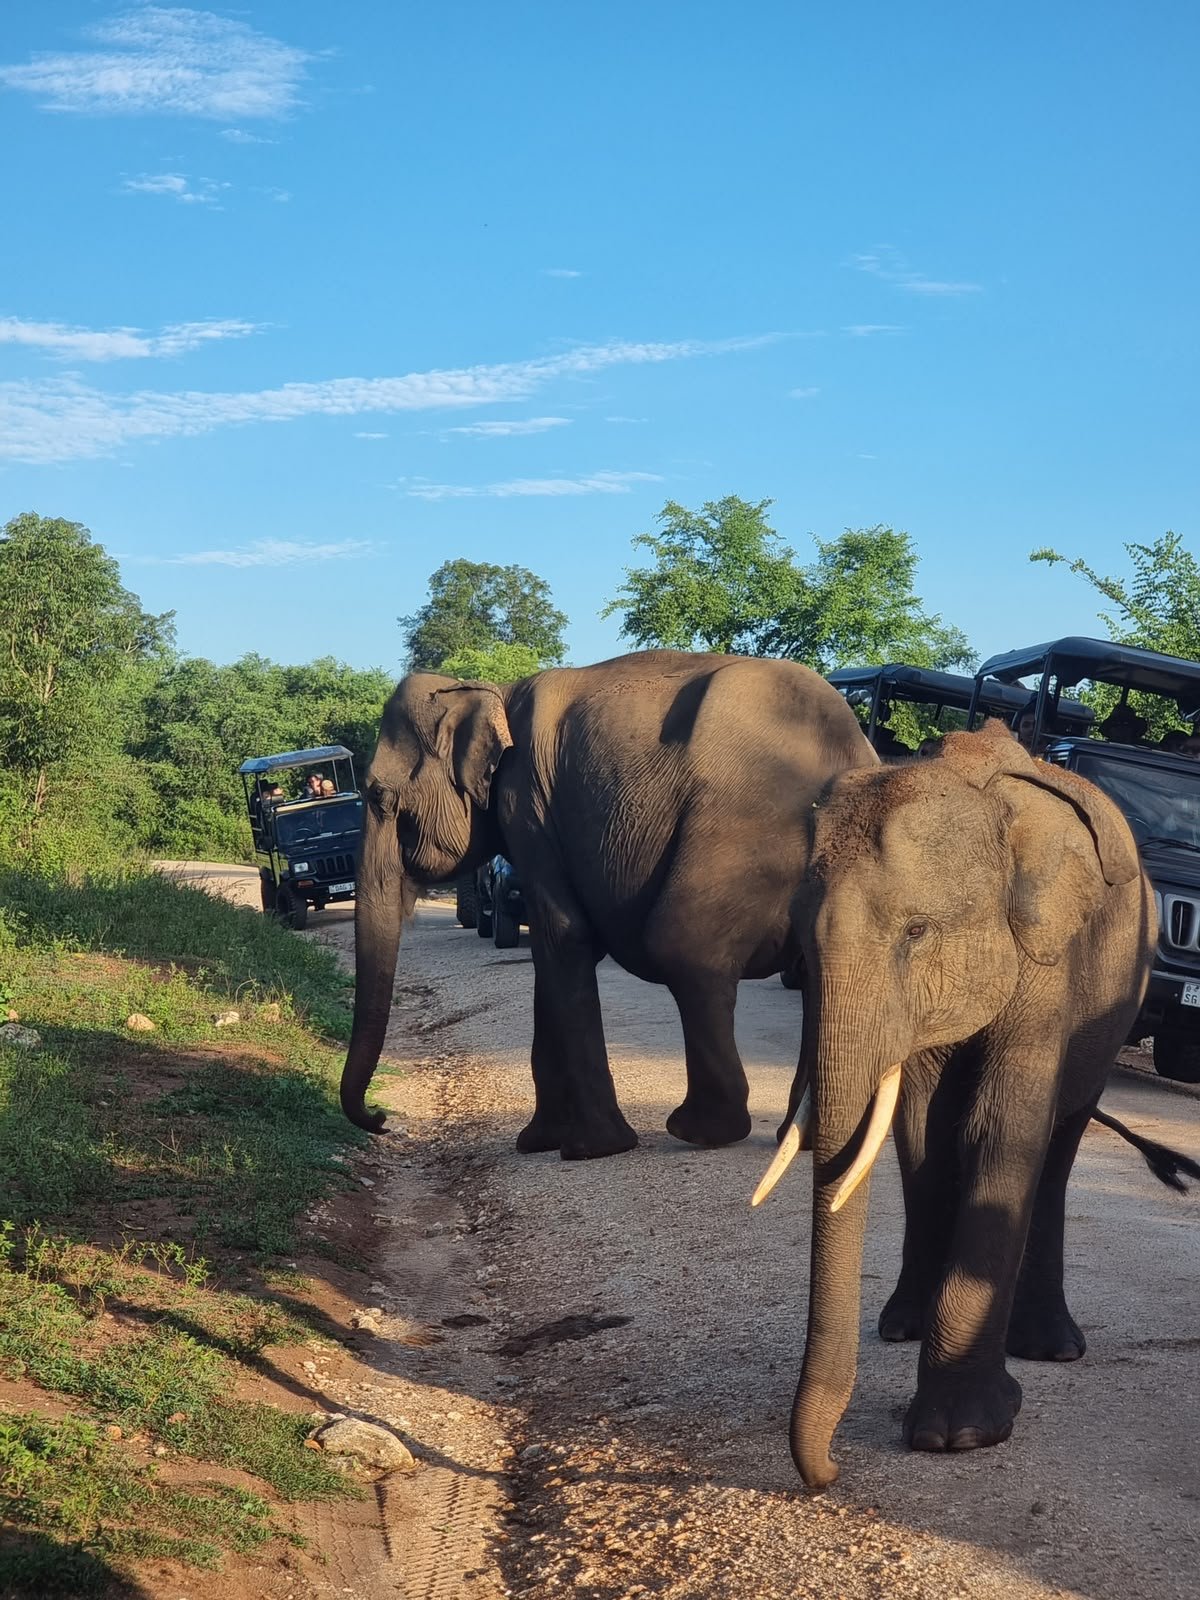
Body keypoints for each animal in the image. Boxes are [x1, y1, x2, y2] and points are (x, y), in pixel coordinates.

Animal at [339, 649, 876, 1159]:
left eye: (378, 796)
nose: (381, 1118)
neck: (492, 691)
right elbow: (551, 956)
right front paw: (538, 1142)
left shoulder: (527, 806)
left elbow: (564, 938)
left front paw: (589, 1150)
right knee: (819, 976)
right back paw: (802, 1139)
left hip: (745, 833)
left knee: (684, 948)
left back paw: (699, 1130)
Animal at [753, 719, 1160, 1488]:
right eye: (797, 942)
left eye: (917, 932)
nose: (829, 1472)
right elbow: (924, 1132)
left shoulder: (1048, 959)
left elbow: (1001, 1129)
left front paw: (961, 1435)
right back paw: (901, 1325)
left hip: (1119, 996)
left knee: (1061, 1142)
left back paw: (1053, 1349)